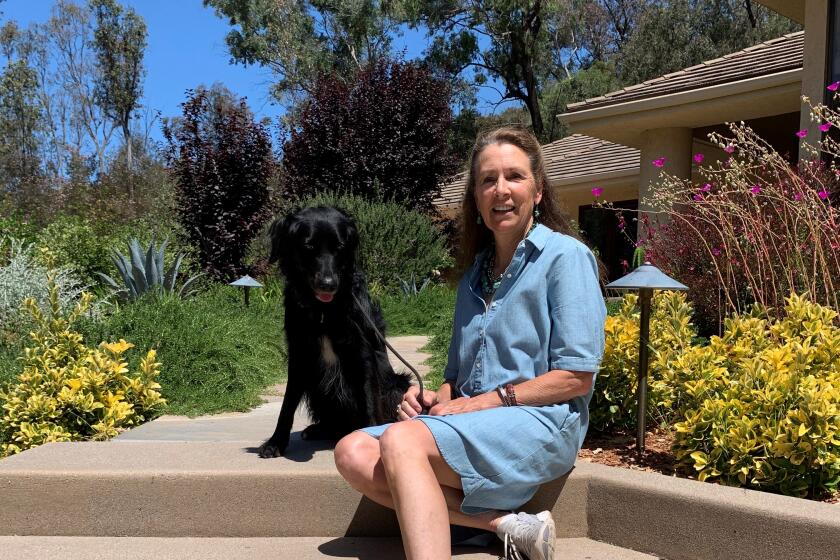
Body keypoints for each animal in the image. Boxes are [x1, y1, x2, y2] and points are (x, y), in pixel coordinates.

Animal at [258, 207, 412, 460]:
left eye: (340, 247)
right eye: (308, 246)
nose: (328, 284)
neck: (324, 310)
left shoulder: (363, 352)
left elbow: (369, 398)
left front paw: (371, 436)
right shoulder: (299, 352)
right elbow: (287, 403)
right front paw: (276, 442)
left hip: (398, 385)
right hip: (315, 387)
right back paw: (318, 429)